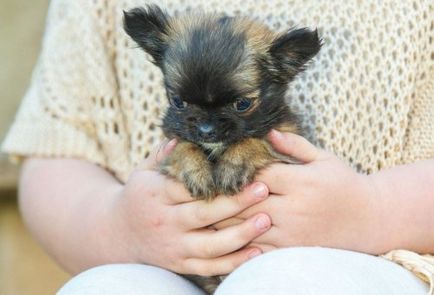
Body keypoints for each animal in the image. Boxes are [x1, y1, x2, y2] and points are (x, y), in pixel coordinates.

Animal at [124, 4, 320, 294]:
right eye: (177, 101)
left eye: (242, 104)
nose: (206, 129)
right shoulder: (168, 149)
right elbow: (184, 147)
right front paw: (197, 171)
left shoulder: (288, 149)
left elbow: (254, 141)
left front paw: (232, 166)